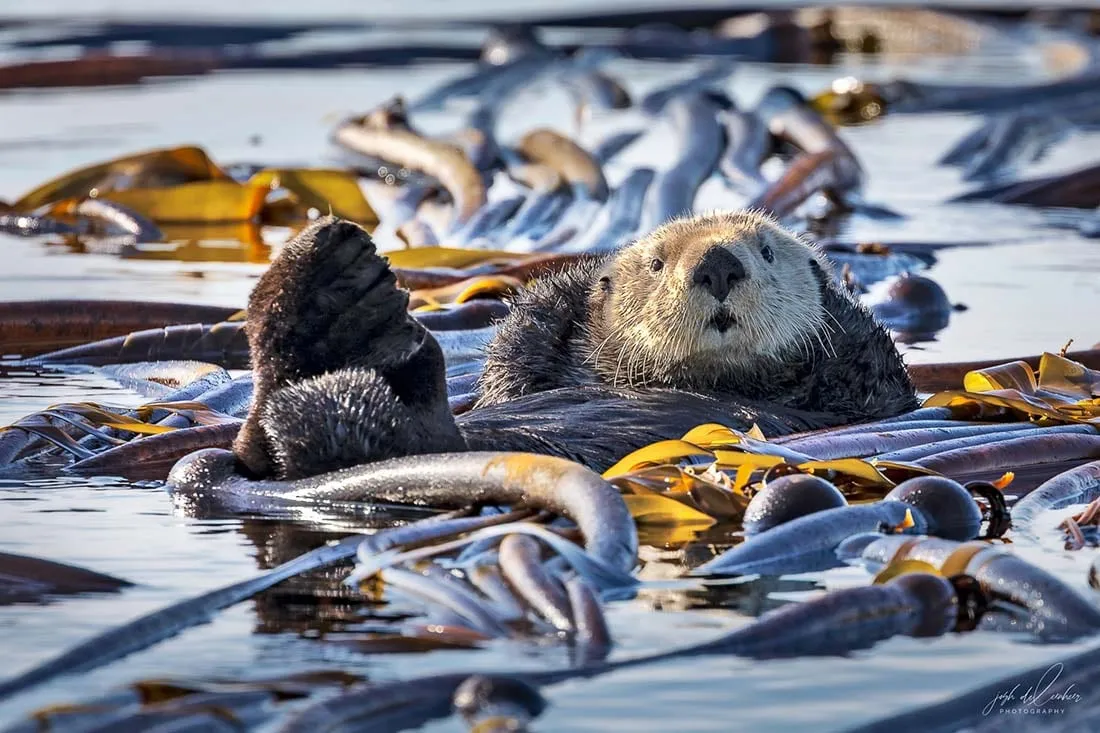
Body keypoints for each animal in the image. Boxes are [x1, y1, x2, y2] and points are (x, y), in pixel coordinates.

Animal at [233, 212, 917, 480]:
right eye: (657, 263)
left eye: (768, 252)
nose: (719, 264)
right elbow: (520, 348)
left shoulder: (874, 393)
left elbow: (870, 361)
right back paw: (329, 291)